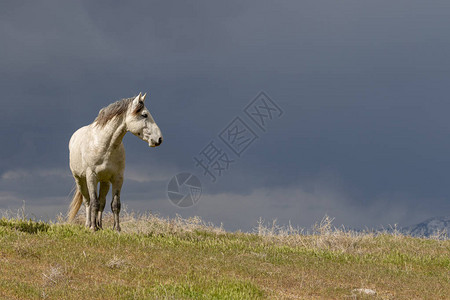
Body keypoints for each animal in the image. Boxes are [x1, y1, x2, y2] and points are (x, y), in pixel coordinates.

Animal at [67, 92, 163, 231]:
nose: (159, 139)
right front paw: (92, 228)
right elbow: (93, 202)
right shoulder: (91, 177)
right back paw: (89, 224)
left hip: (105, 182)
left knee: (102, 202)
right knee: (87, 202)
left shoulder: (118, 178)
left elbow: (115, 204)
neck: (105, 145)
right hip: (80, 180)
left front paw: (116, 228)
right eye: (144, 114)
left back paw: (99, 225)